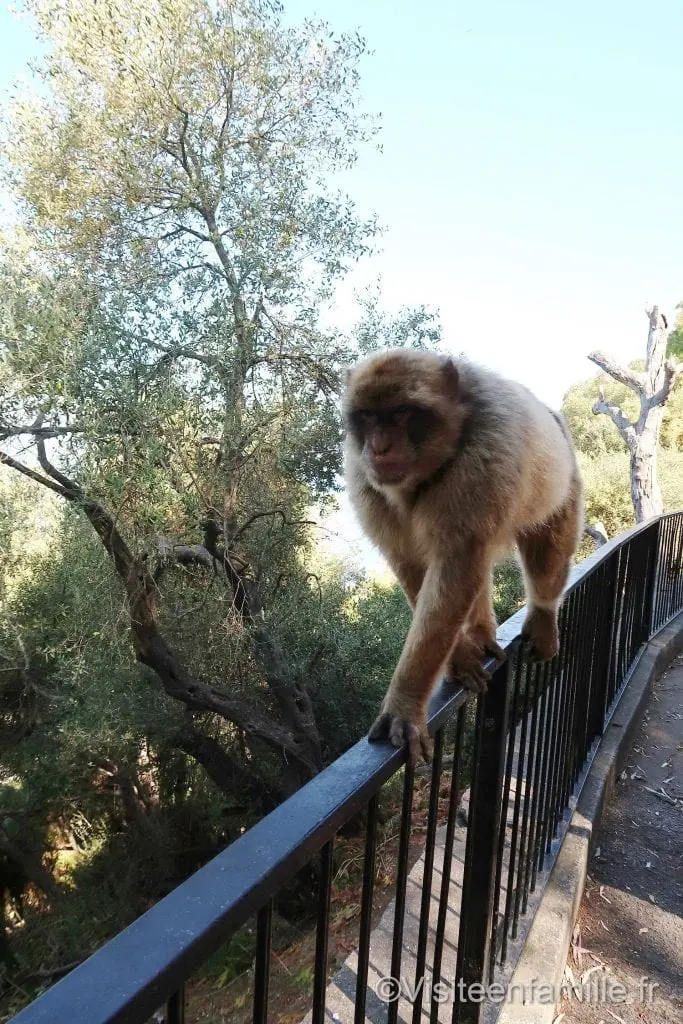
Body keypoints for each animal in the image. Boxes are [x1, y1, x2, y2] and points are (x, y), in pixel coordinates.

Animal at [342, 349, 583, 764]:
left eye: (402, 412)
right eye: (368, 417)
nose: (379, 448)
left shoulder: (486, 459)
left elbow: (455, 567)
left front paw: (405, 702)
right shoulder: (365, 480)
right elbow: (413, 565)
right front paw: (459, 658)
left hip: (566, 481)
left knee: (543, 541)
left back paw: (542, 612)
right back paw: (480, 635)